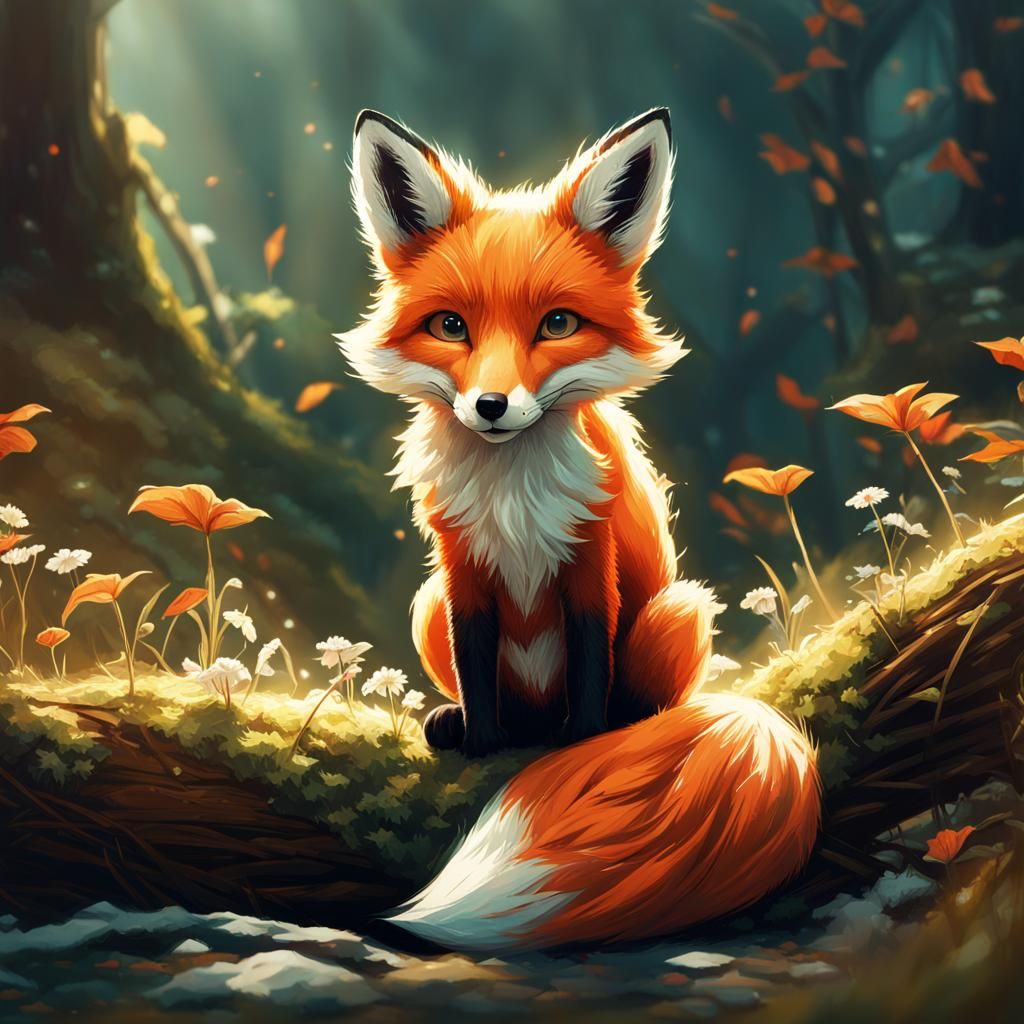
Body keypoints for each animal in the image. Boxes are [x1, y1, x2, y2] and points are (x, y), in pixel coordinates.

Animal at [337, 107, 820, 952]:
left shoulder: (592, 559)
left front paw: (588, 737)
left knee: (646, 696)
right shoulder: (459, 567)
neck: (512, 499)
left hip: (674, 612)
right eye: (451, 326)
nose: (491, 406)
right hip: (423, 608)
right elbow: (475, 659)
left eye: (557, 324)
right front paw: (482, 740)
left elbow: (593, 654)